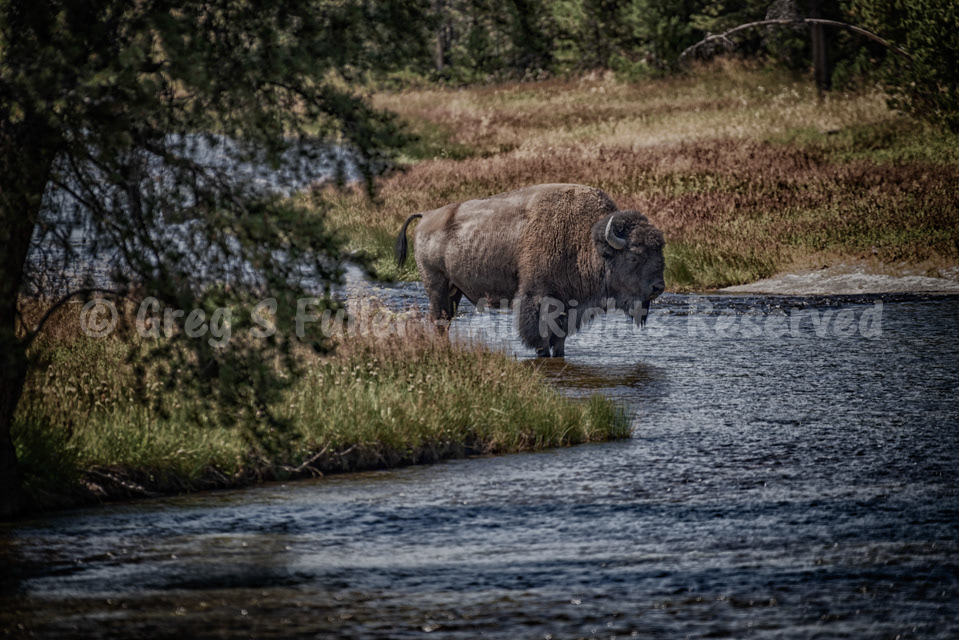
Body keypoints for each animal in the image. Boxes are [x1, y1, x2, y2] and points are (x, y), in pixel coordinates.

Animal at [395, 183, 665, 357]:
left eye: (660, 252)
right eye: (634, 256)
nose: (658, 287)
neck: (584, 239)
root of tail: (427, 215)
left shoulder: (570, 305)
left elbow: (560, 338)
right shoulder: (539, 297)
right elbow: (540, 335)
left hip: (454, 290)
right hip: (436, 284)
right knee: (439, 321)